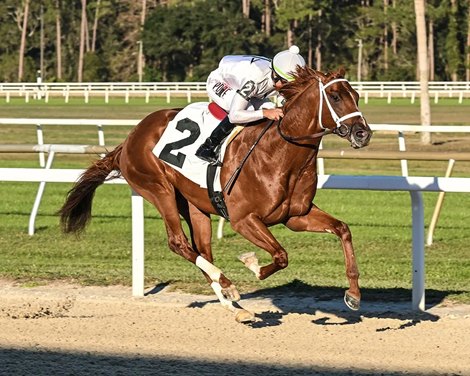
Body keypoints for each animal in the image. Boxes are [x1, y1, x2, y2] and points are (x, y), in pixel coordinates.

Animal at [60, 66, 372, 322]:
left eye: (356, 95)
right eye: (334, 96)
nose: (363, 134)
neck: (281, 152)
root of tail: (130, 138)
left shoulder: (296, 216)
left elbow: (342, 229)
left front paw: (353, 294)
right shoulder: (243, 219)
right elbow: (281, 255)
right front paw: (252, 265)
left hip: (193, 205)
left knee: (202, 250)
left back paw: (234, 306)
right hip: (158, 189)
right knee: (179, 243)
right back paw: (229, 287)